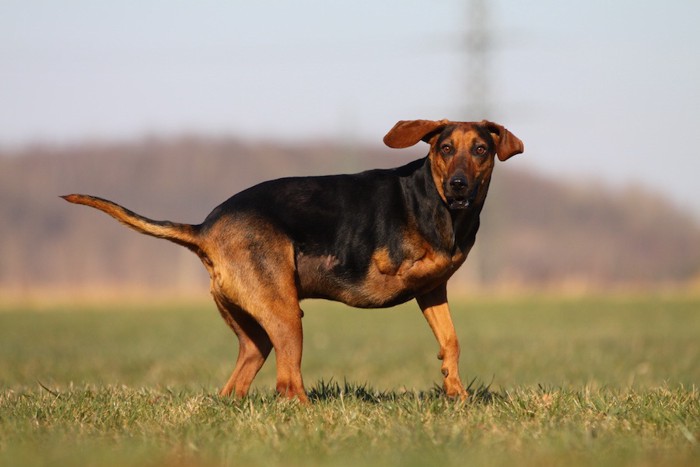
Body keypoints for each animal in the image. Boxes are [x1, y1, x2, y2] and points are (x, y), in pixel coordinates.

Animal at [63, 119, 524, 402]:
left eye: (481, 149)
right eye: (445, 148)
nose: (459, 185)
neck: (438, 204)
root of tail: (205, 227)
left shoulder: (433, 290)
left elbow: (451, 340)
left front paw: (456, 391)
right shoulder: (399, 271)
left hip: (257, 331)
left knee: (236, 386)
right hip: (286, 314)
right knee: (287, 384)